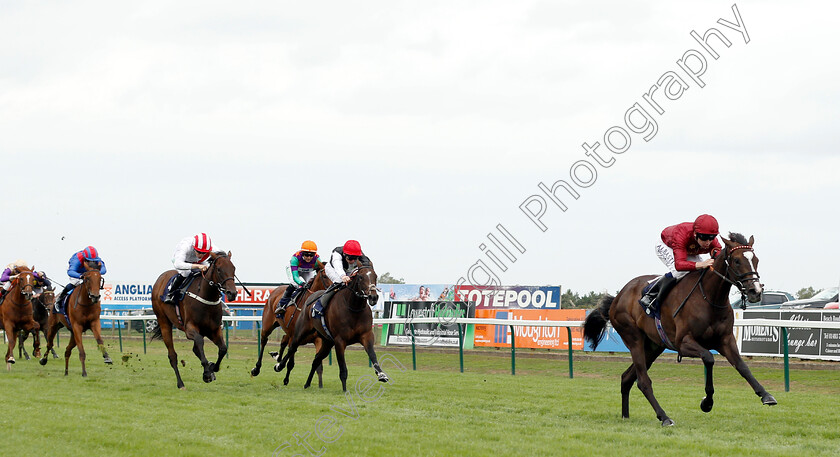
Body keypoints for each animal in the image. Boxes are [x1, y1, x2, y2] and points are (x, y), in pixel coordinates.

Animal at [149, 251, 236, 390]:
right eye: (219, 269)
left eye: (234, 269)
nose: (232, 293)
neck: (206, 297)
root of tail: (160, 279)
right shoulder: (190, 329)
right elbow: (200, 342)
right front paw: (207, 373)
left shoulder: (214, 329)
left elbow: (223, 349)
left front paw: (213, 368)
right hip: (164, 322)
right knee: (172, 356)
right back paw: (180, 384)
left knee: (196, 349)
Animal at [278, 262, 390, 390]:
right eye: (361, 277)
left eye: (375, 276)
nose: (373, 297)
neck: (353, 308)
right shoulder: (339, 341)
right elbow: (343, 369)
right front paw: (345, 390)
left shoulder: (366, 336)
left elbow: (372, 354)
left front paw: (381, 374)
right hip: (301, 331)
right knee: (292, 347)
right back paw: (279, 365)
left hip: (326, 342)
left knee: (316, 360)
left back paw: (307, 384)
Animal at [584, 233, 776, 426]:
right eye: (736, 261)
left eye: (756, 260)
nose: (755, 291)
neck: (710, 298)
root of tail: (618, 297)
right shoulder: (683, 342)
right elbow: (709, 358)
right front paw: (707, 402)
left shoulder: (725, 340)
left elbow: (742, 366)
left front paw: (766, 395)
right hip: (634, 338)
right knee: (643, 381)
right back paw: (664, 417)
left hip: (653, 346)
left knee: (627, 378)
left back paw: (626, 415)